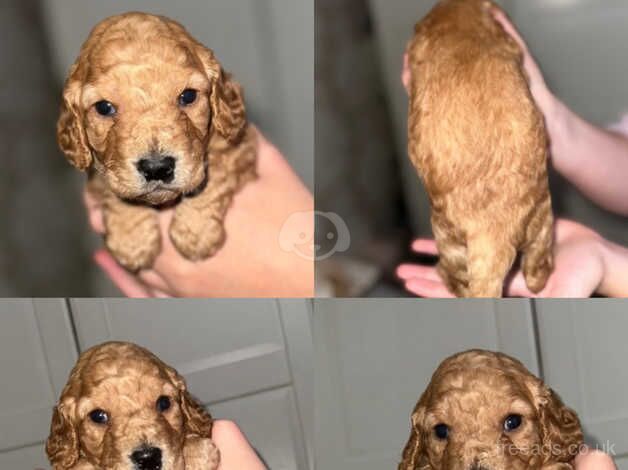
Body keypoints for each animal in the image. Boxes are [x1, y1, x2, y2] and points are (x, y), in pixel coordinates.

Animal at [56, 11, 256, 272]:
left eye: (188, 96)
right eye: (104, 107)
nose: (157, 168)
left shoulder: (240, 144)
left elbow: (217, 174)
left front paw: (196, 233)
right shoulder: (99, 172)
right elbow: (115, 192)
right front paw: (132, 241)